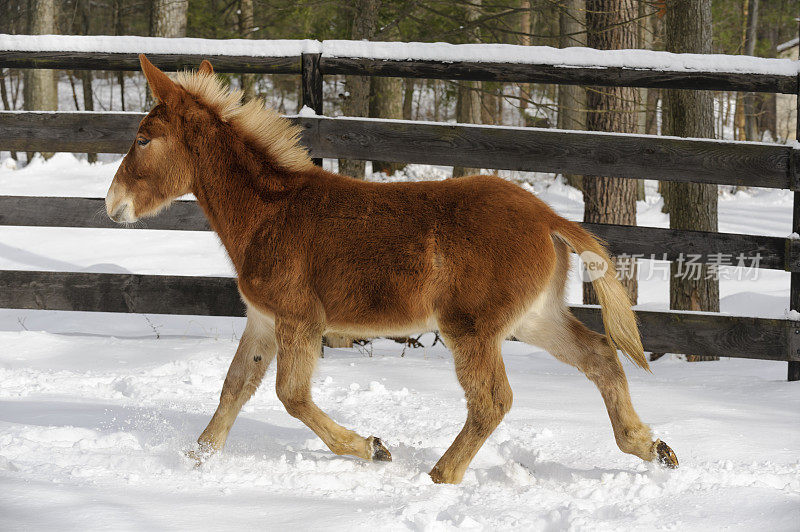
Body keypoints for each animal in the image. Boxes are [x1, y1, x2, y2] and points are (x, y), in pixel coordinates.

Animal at [106, 56, 680, 484]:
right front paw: (196, 459)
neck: (270, 212)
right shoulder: (264, 320)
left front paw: (371, 447)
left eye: (143, 139)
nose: (112, 205)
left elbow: (291, 396)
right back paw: (651, 446)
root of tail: (547, 216)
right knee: (600, 356)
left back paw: (441, 475)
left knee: (492, 401)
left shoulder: (299, 320)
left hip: (471, 327)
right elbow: (235, 387)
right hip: (533, 318)